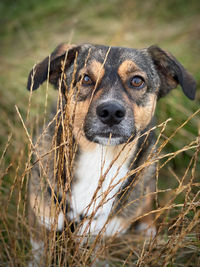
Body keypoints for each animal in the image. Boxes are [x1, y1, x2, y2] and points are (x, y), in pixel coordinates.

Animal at [26, 44, 195, 266]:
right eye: (86, 78)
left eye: (137, 81)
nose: (111, 112)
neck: (99, 158)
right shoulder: (42, 224)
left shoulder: (104, 236)